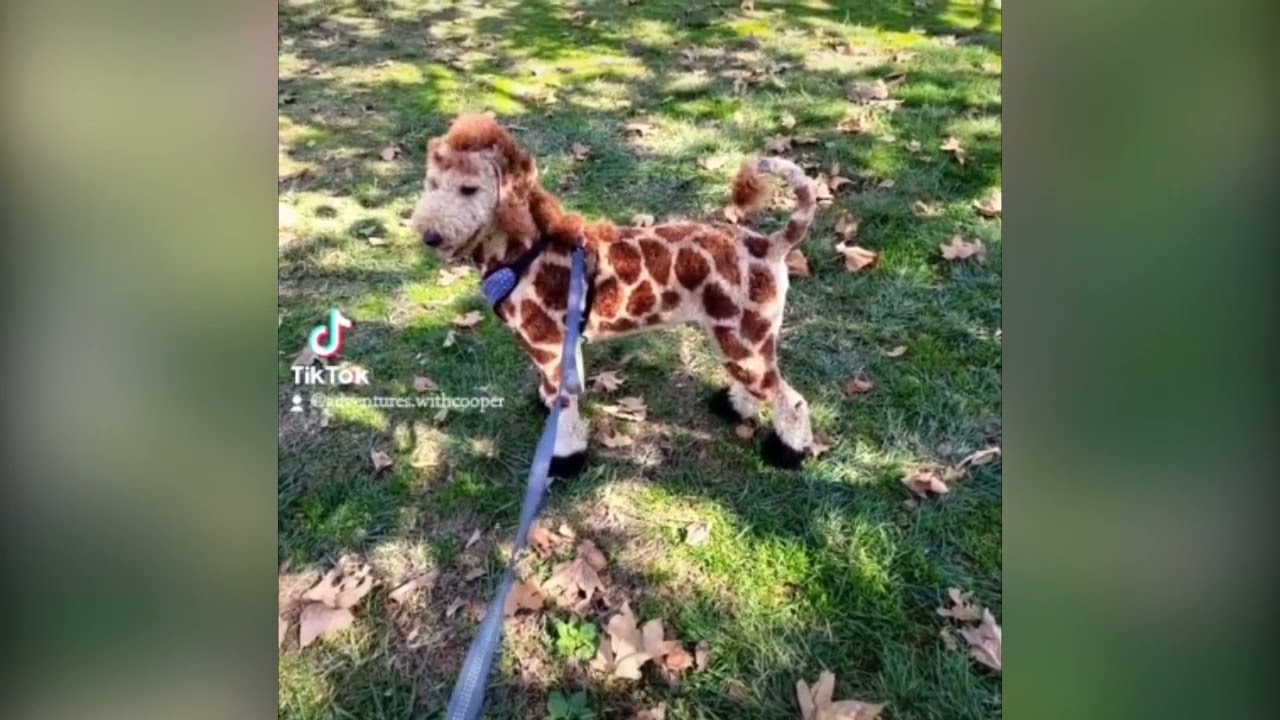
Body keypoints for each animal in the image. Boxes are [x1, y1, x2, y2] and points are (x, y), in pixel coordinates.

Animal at [408, 114, 818, 476]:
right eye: (432, 183)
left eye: (469, 188)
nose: (430, 236)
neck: (525, 248)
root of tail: (771, 244)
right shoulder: (555, 352)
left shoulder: (551, 350)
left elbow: (565, 418)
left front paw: (564, 459)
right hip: (736, 339)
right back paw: (737, 407)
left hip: (745, 340)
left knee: (791, 401)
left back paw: (788, 452)